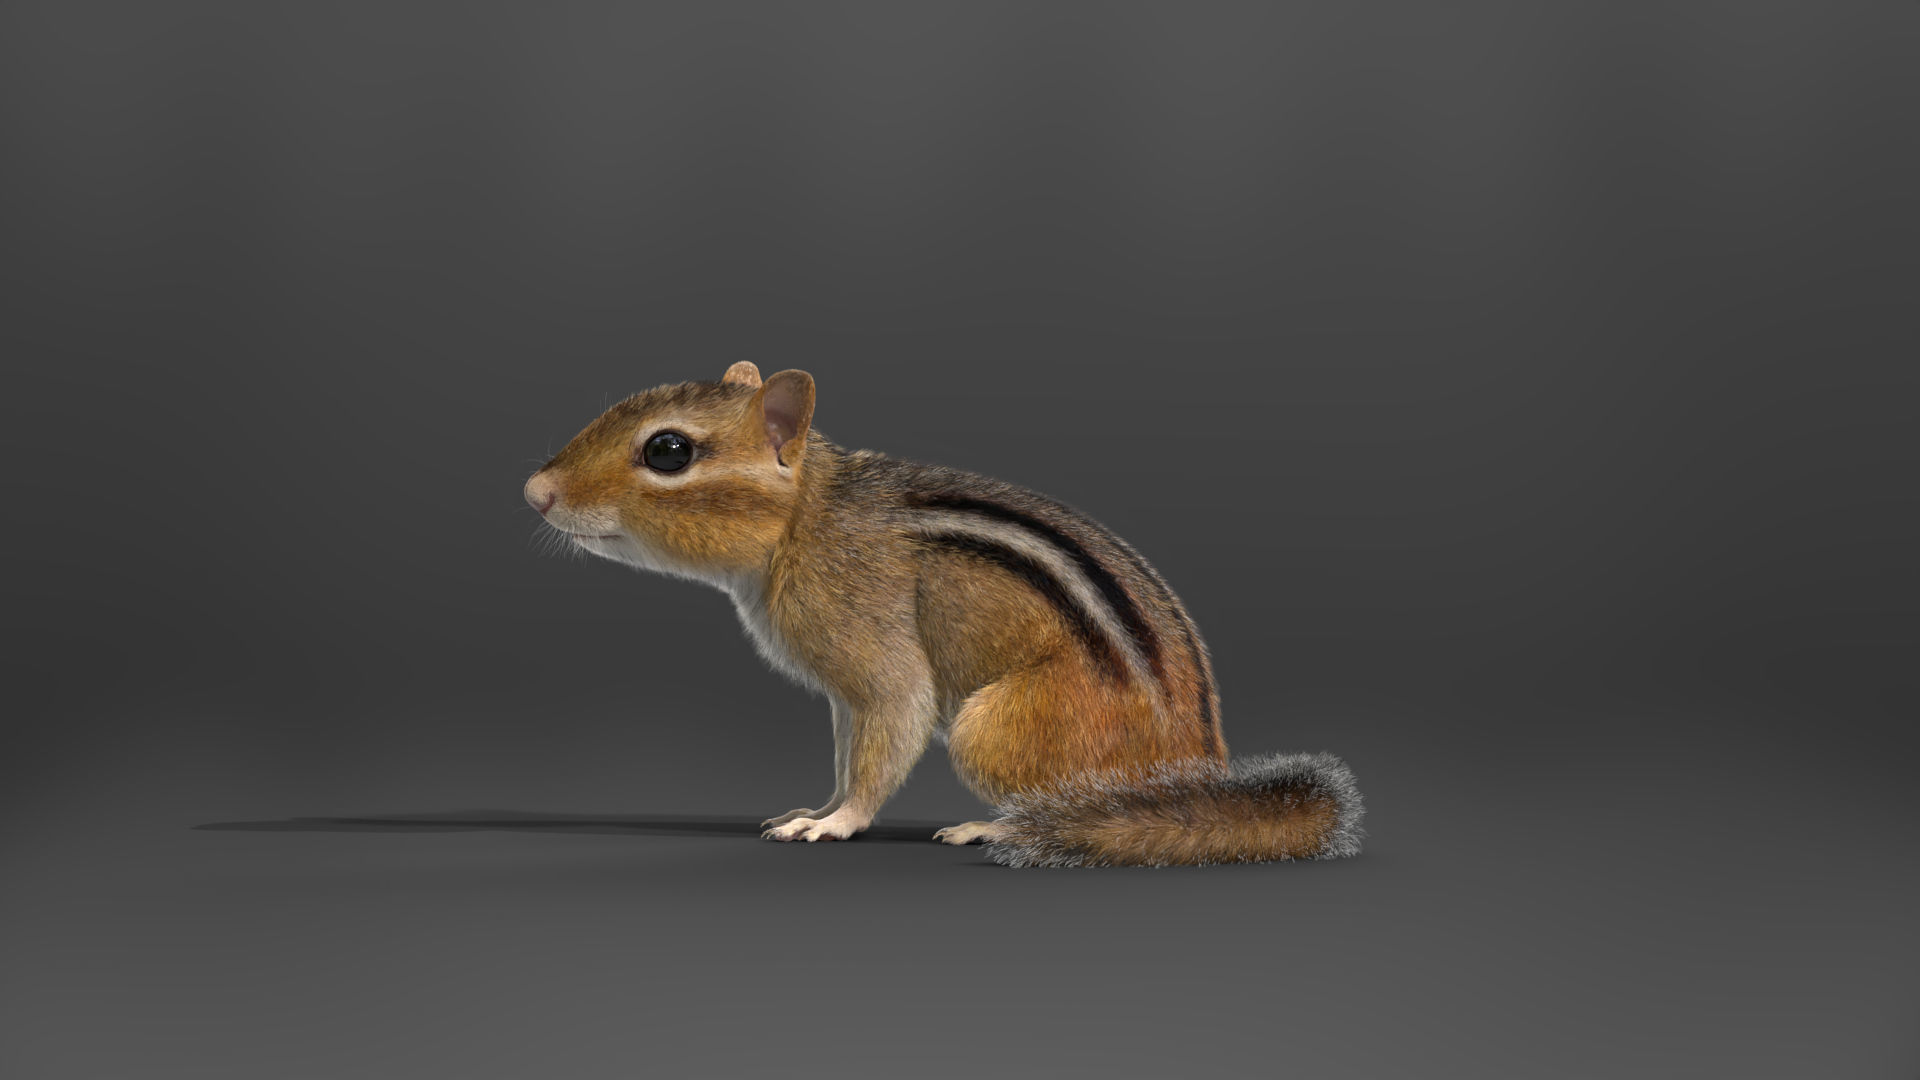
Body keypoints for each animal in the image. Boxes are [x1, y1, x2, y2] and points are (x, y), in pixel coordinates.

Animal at [523, 363, 1363, 867]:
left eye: (667, 451)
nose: (534, 492)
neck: (806, 518)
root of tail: (1200, 780)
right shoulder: (842, 697)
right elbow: (847, 752)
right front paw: (819, 804)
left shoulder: (873, 650)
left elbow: (896, 718)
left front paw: (835, 823)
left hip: (993, 728)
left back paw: (991, 826)